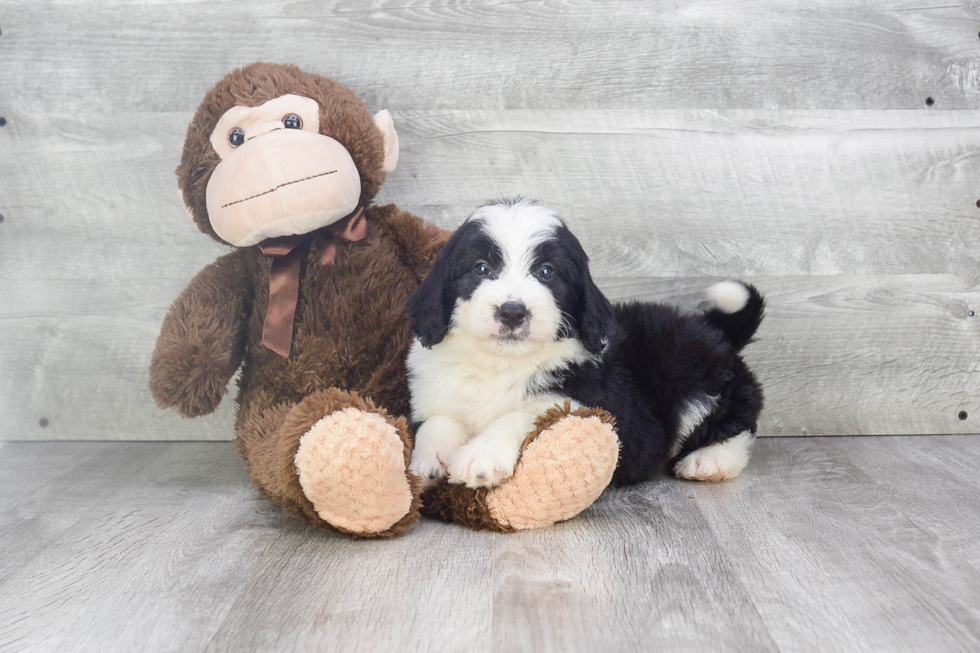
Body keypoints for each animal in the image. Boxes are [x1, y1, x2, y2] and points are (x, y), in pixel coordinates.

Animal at [406, 199, 764, 488]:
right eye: (481, 268)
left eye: (547, 272)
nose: (512, 311)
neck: (502, 362)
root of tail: (712, 329)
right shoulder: (439, 389)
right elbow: (438, 421)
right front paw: (428, 462)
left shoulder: (584, 401)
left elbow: (523, 414)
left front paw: (481, 456)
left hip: (691, 374)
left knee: (737, 418)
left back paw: (709, 461)